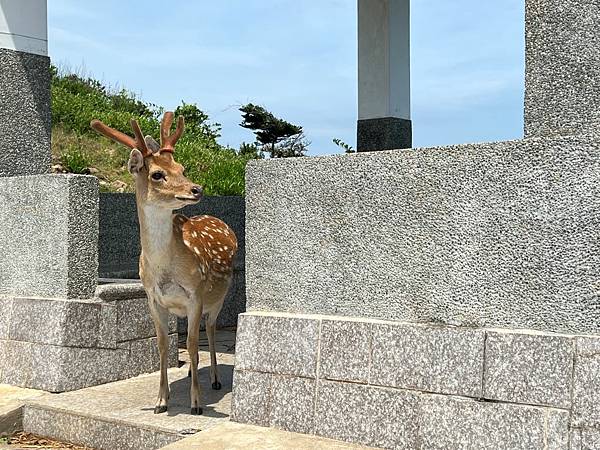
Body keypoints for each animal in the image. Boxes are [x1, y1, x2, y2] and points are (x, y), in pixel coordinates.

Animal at [91, 112, 237, 414]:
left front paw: (196, 403)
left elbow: (192, 346)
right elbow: (161, 345)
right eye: (157, 174)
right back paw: (194, 373)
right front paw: (160, 401)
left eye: (182, 167)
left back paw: (215, 379)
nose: (197, 189)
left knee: (211, 329)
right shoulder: (153, 299)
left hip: (219, 296)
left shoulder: (195, 295)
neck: (164, 269)